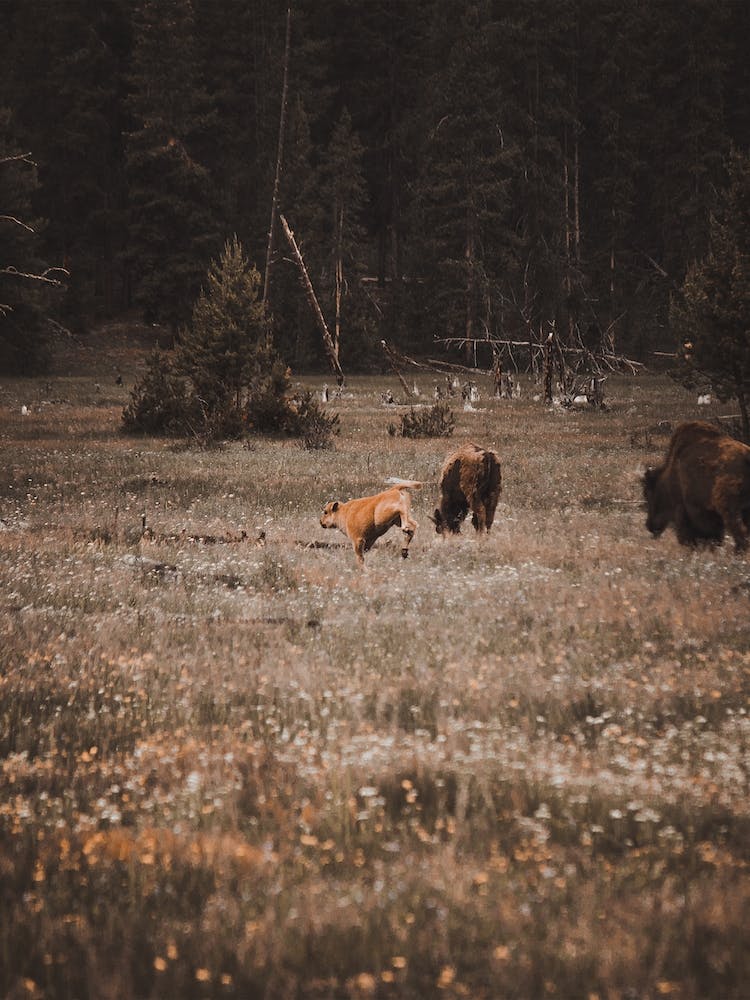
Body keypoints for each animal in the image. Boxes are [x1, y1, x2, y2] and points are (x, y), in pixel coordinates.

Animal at [642, 420, 750, 552]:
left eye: (648, 493)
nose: (649, 525)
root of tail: (746, 457)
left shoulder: (686, 509)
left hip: (729, 508)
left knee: (740, 532)